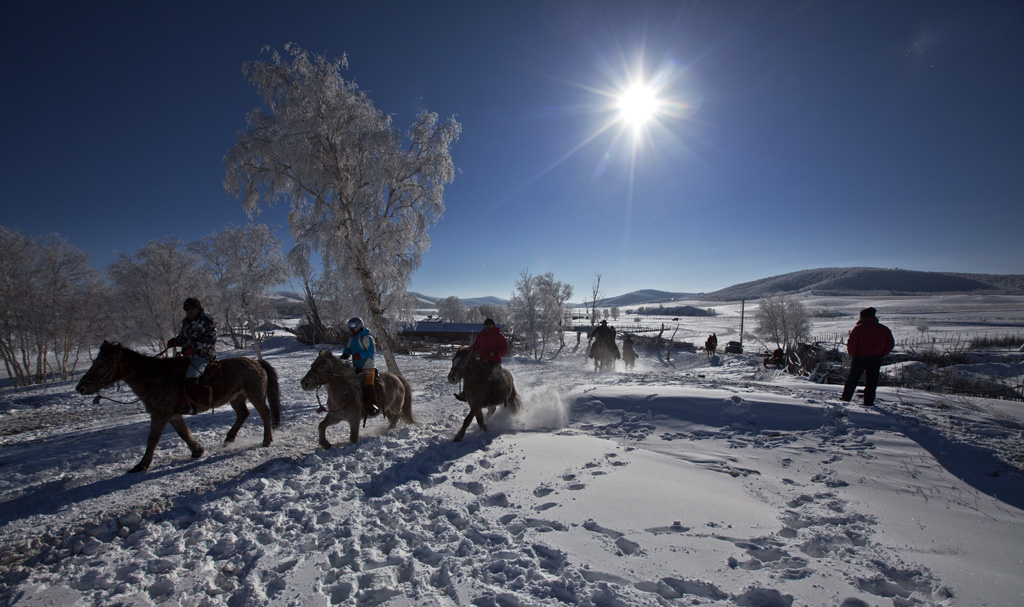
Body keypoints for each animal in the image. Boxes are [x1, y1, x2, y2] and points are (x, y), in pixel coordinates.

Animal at [74, 339, 284, 472]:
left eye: (103, 364)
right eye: (95, 361)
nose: (81, 387)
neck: (155, 378)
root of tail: (256, 362)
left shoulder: (160, 414)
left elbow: (152, 439)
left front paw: (142, 464)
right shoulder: (172, 414)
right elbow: (183, 433)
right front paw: (197, 450)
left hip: (254, 394)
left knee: (264, 413)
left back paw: (266, 440)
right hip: (236, 397)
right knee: (243, 414)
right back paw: (229, 438)